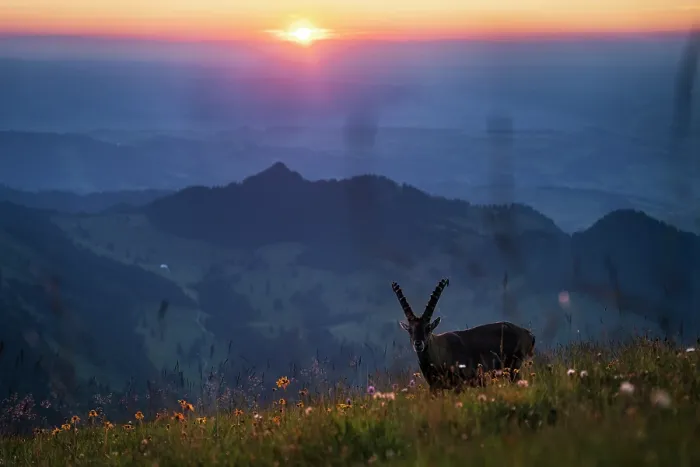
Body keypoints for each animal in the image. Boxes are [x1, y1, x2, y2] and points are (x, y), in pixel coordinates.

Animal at [393, 278, 536, 391]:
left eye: (428, 328)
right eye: (410, 330)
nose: (418, 343)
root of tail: (527, 334)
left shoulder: (459, 385)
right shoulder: (435, 388)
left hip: (513, 368)